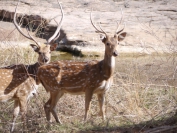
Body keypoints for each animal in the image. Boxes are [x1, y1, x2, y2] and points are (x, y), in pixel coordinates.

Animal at [0, 0, 63, 132]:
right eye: (39, 52)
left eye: (50, 51)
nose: (46, 59)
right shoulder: (23, 93)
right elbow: (23, 115)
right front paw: (25, 129)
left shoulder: (16, 96)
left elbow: (14, 115)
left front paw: (11, 130)